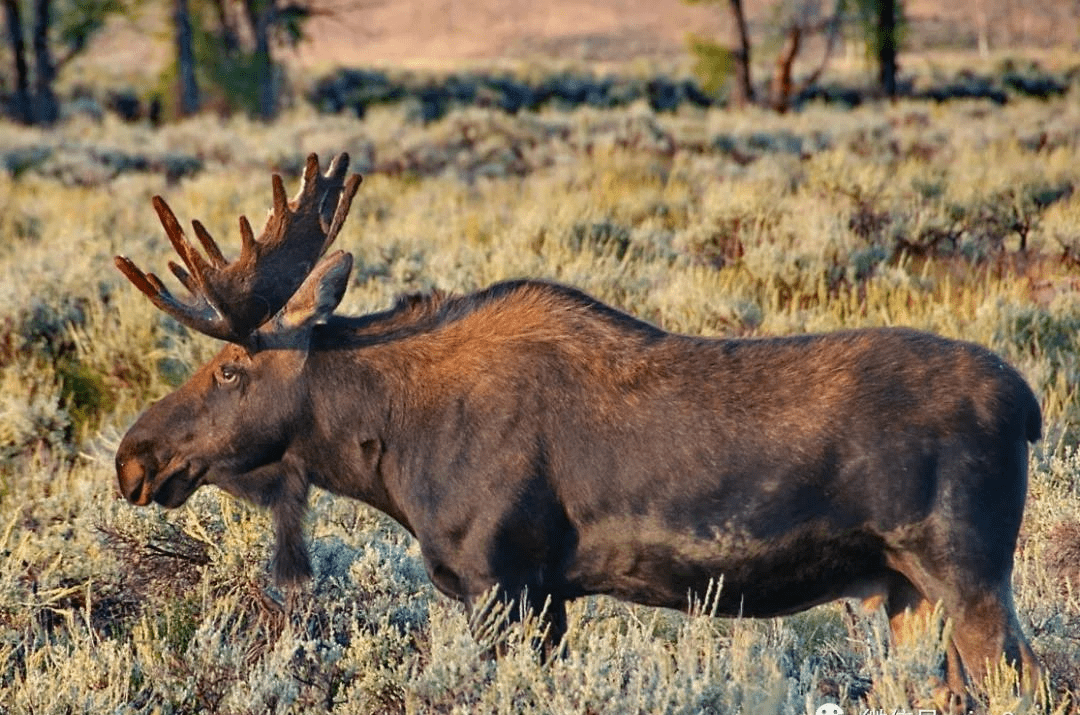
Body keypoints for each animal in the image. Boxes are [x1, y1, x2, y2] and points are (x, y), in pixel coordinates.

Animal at [118, 152, 1045, 699]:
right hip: (906, 588)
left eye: (228, 368)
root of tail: (1030, 408)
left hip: (965, 572)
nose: (135, 455)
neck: (389, 451)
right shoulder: (550, 593)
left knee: (1027, 680)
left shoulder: (501, 579)